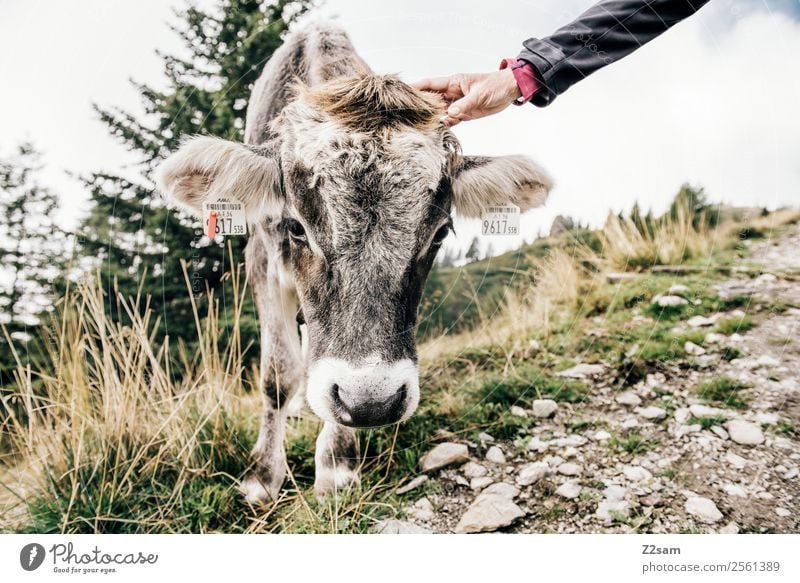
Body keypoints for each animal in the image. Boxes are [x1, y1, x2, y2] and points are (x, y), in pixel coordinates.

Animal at [154, 20, 552, 504]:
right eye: (296, 227)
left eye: (440, 233)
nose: (372, 401)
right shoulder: (261, 258)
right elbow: (277, 375)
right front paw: (262, 475)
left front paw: (337, 463)